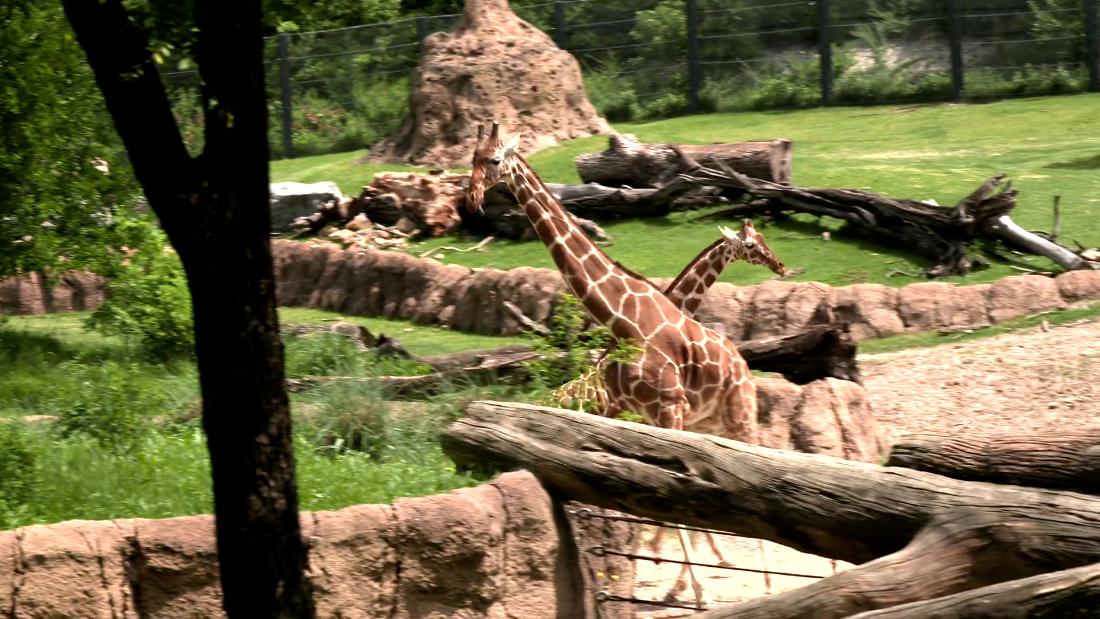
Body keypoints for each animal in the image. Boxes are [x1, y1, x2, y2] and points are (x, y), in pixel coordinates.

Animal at [466, 122, 765, 611]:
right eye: (470, 159)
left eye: (493, 161)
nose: (471, 199)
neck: (625, 320)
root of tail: (741, 364)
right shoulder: (647, 417)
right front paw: (677, 581)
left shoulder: (668, 412)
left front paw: (692, 587)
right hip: (710, 421)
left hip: (737, 415)